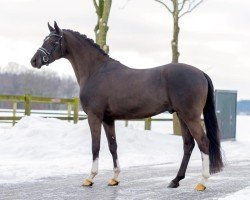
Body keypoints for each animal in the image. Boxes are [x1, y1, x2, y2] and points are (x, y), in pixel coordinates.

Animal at [30, 22, 224, 191]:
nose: (34, 61)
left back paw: (202, 182)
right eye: (44, 39)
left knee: (203, 142)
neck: (96, 71)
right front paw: (114, 178)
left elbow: (95, 146)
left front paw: (90, 178)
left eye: (53, 41)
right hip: (181, 116)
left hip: (190, 116)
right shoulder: (108, 119)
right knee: (188, 144)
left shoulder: (94, 117)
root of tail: (200, 73)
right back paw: (175, 180)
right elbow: (112, 146)